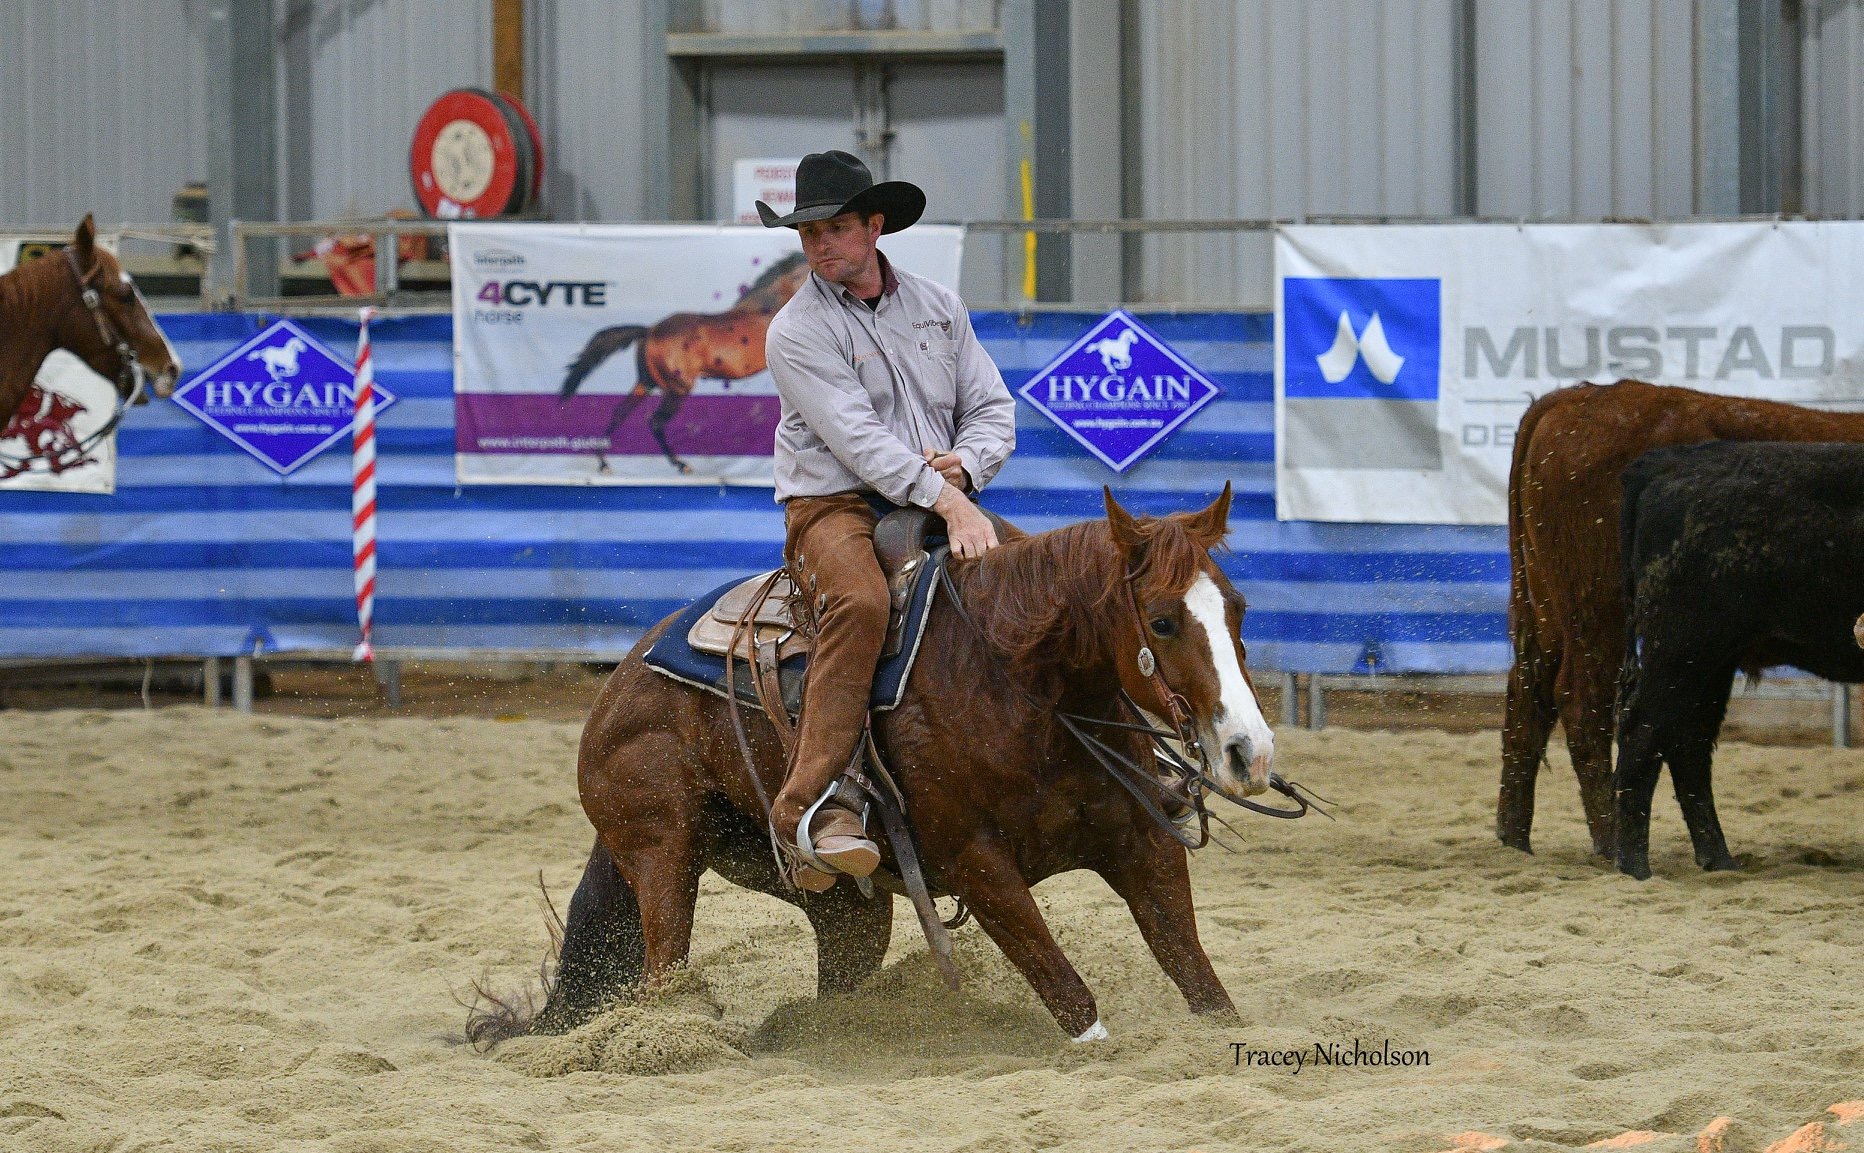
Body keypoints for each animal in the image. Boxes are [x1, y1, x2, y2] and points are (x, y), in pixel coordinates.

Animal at [473, 485, 1278, 1044]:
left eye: (1237, 608)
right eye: (1163, 621)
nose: (1249, 749)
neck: (1022, 688)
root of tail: (618, 684)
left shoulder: (1141, 843)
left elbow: (1201, 982)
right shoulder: (976, 863)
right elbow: (1069, 994)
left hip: (844, 905)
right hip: (661, 853)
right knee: (659, 973)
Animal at [556, 252, 810, 474]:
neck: (766, 309)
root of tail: (649, 332)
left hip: (646, 382)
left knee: (620, 412)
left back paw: (604, 463)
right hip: (677, 388)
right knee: (655, 422)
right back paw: (681, 464)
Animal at [1613, 440, 1864, 880]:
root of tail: (1671, 461)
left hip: (1713, 663)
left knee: (1689, 746)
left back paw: (1718, 859)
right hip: (1683, 649)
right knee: (1643, 735)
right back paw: (1635, 866)